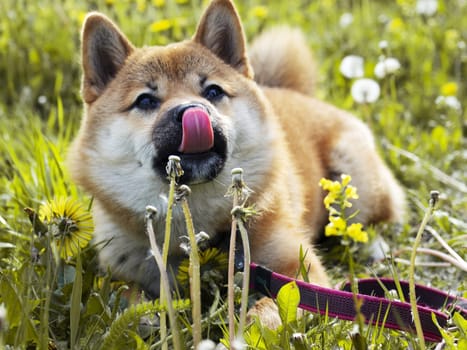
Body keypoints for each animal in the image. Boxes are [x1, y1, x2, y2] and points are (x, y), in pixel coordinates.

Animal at [68, 0, 406, 326]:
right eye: (146, 100)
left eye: (212, 91)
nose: (192, 111)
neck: (198, 225)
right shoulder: (121, 272)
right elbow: (127, 300)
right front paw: (147, 315)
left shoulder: (299, 272)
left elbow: (273, 309)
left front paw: (243, 328)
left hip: (353, 182)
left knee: (373, 221)